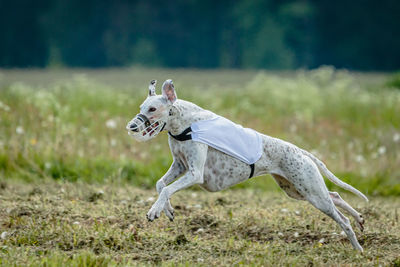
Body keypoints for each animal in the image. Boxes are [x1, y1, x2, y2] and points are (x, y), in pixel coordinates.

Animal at [126, 79, 368, 251]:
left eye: (152, 109)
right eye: (141, 107)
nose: (132, 126)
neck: (183, 123)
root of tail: (302, 152)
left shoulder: (194, 174)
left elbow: (167, 188)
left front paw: (154, 211)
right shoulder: (180, 166)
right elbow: (160, 185)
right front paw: (166, 210)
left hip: (311, 192)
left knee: (342, 218)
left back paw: (357, 246)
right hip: (298, 190)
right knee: (335, 195)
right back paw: (360, 219)